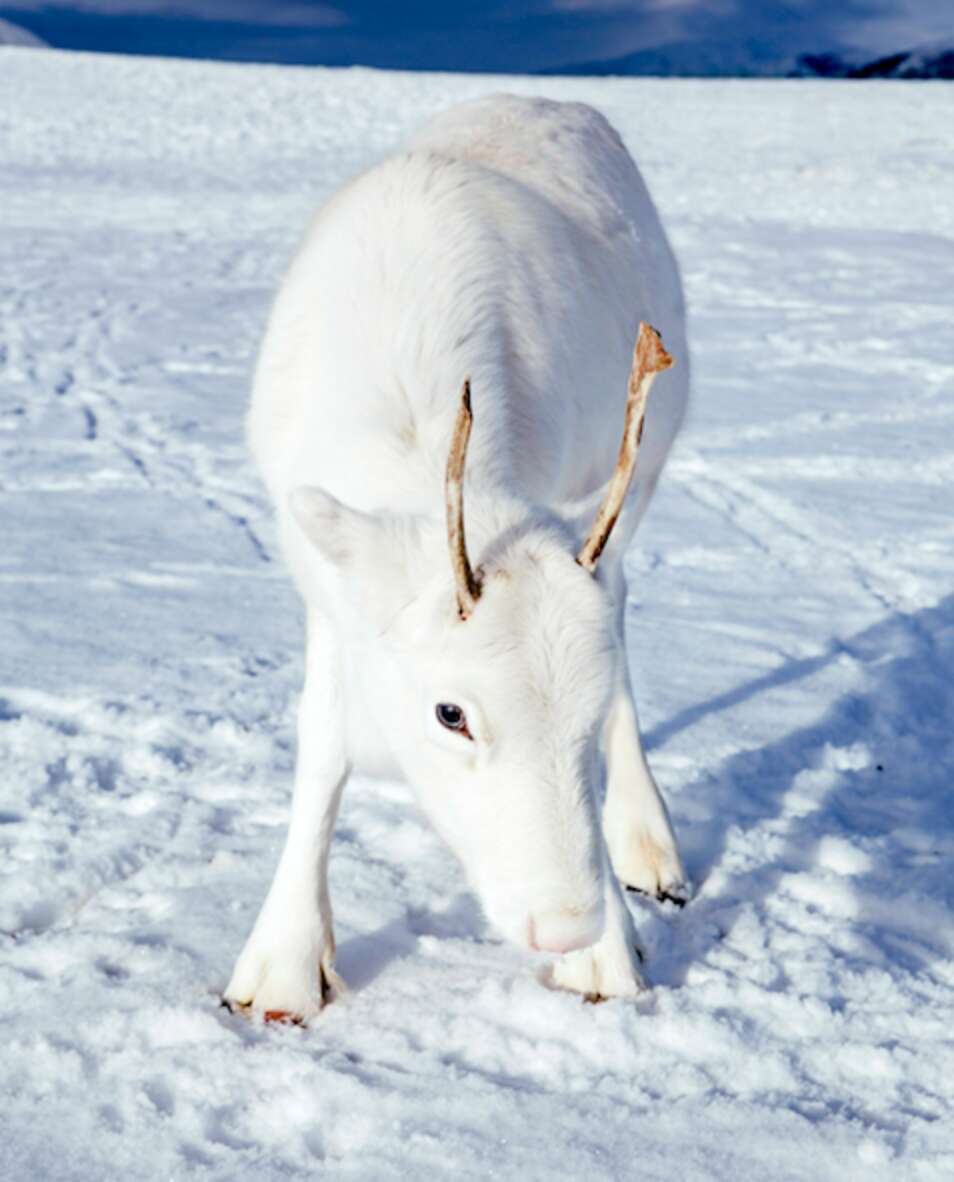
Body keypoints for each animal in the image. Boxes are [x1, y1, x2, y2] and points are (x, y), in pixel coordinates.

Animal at [223, 92, 685, 1021]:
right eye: (451, 714)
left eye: (581, 714)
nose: (565, 926)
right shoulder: (331, 587)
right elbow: (322, 737)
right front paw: (285, 964)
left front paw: (610, 956)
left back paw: (648, 844)